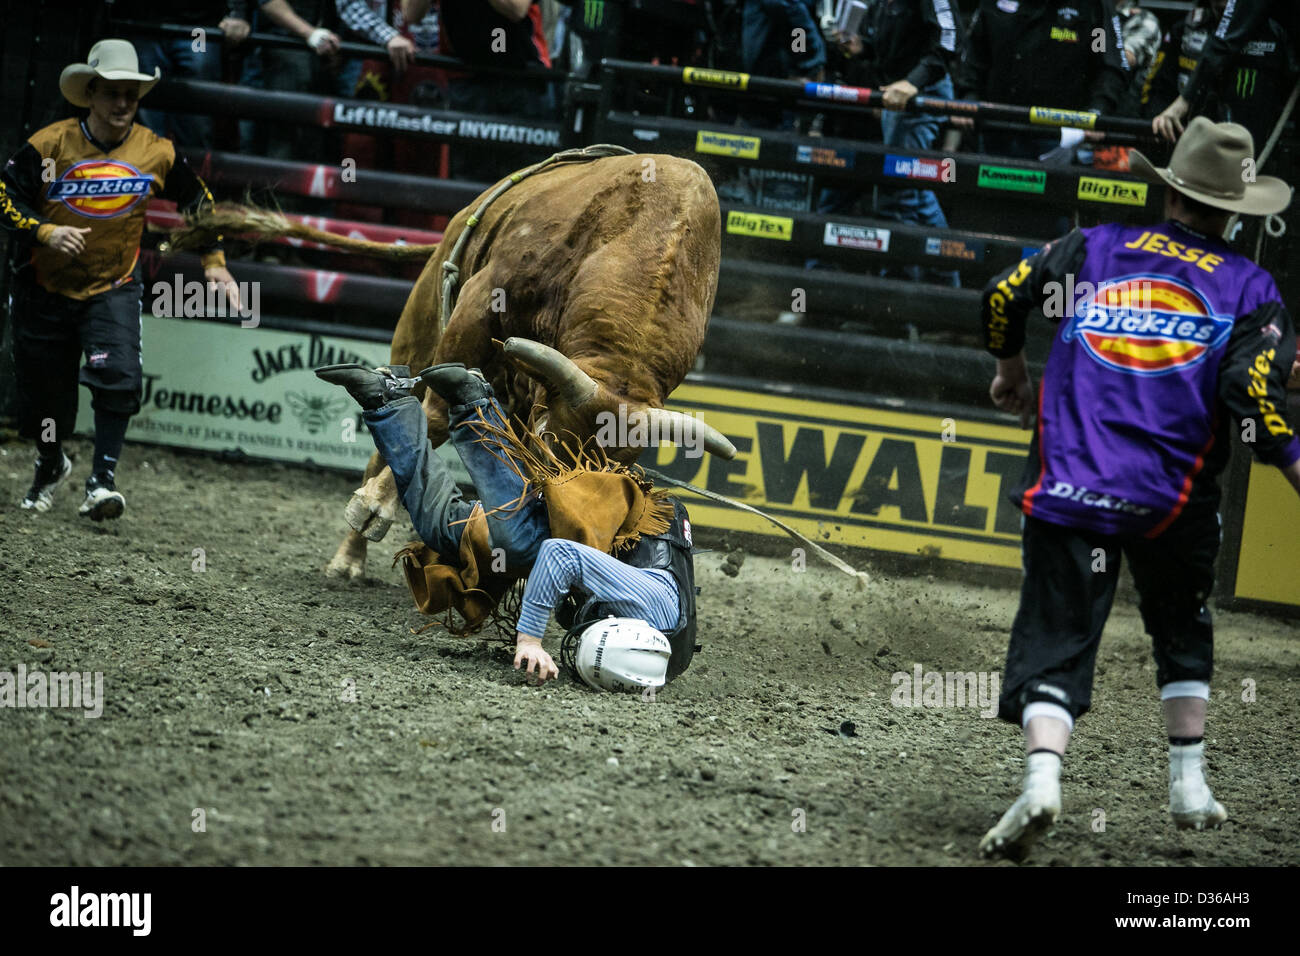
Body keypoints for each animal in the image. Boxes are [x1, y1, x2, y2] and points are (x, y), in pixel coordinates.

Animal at [317, 153, 733, 580]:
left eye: (616, 470)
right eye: (546, 442)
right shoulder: (483, 298)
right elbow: (433, 415)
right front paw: (376, 505)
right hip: (420, 328)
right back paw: (350, 554)